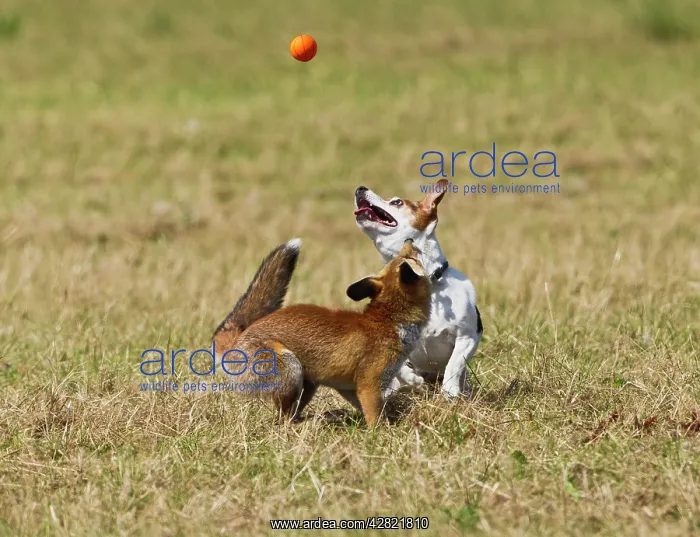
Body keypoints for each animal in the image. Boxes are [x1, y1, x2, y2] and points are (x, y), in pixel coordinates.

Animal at [213, 238, 433, 427]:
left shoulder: (349, 387)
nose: (409, 240)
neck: (390, 322)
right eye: (412, 258)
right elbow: (376, 419)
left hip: (308, 385)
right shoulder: (369, 384)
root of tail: (237, 340)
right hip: (291, 369)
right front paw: (383, 434)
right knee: (283, 421)